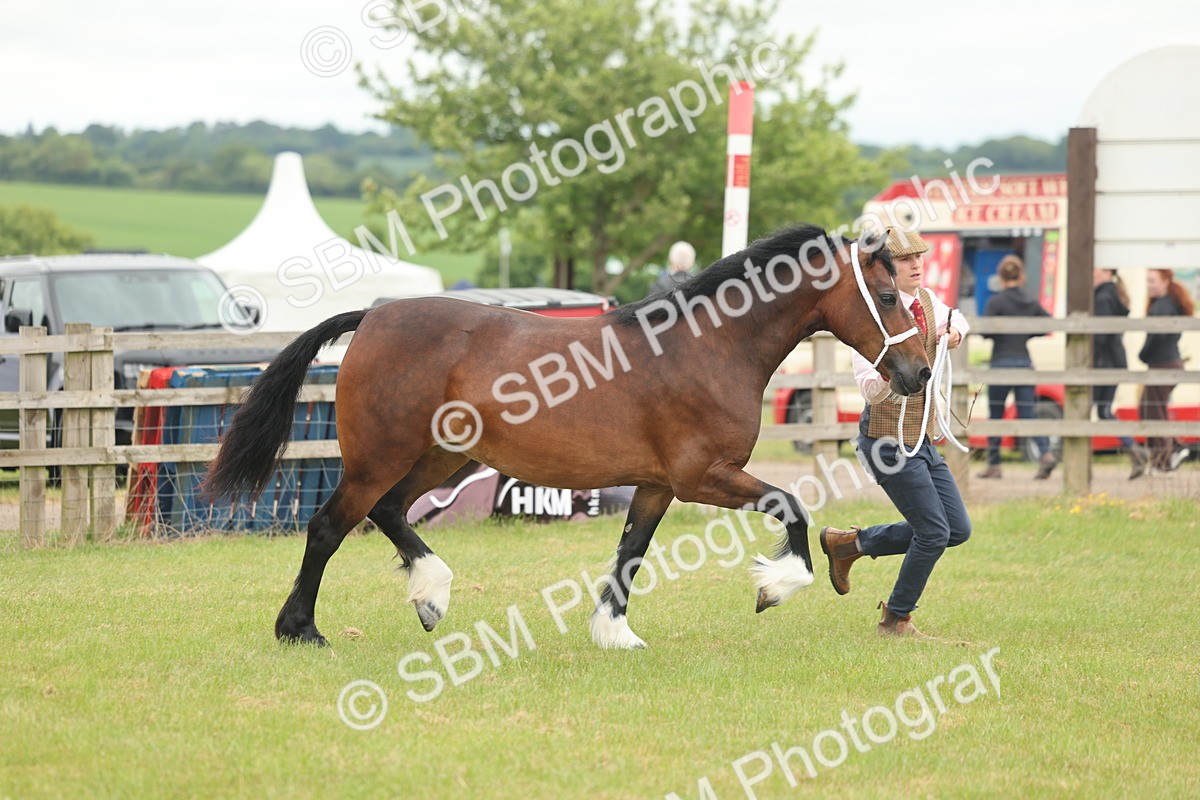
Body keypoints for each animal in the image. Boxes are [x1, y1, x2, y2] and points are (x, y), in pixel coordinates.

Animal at [202, 224, 930, 649]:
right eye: (890, 297)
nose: (919, 372)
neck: (709, 346)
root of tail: (373, 318)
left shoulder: (657, 485)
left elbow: (631, 551)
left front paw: (614, 632)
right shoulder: (704, 476)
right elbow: (794, 506)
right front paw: (774, 587)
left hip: (442, 457)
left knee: (386, 513)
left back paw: (431, 596)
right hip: (381, 457)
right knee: (329, 525)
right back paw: (302, 630)